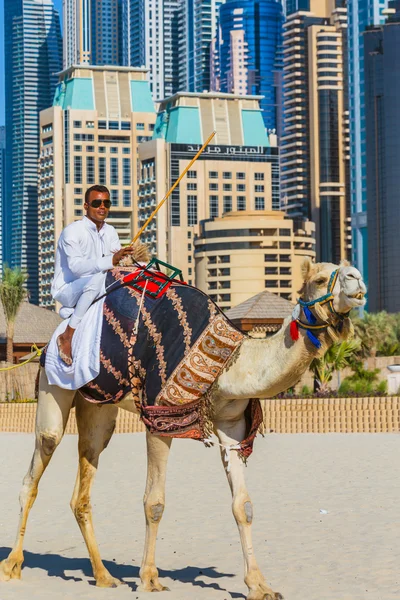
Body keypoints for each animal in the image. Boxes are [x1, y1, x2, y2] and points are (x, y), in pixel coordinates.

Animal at [0, 258, 366, 600]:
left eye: (346, 268)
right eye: (319, 278)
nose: (358, 280)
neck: (229, 366)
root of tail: (50, 340)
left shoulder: (232, 427)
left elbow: (243, 506)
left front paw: (260, 585)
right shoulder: (159, 418)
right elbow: (154, 502)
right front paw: (150, 579)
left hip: (98, 405)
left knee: (85, 474)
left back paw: (104, 576)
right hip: (52, 386)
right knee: (37, 466)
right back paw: (13, 565)